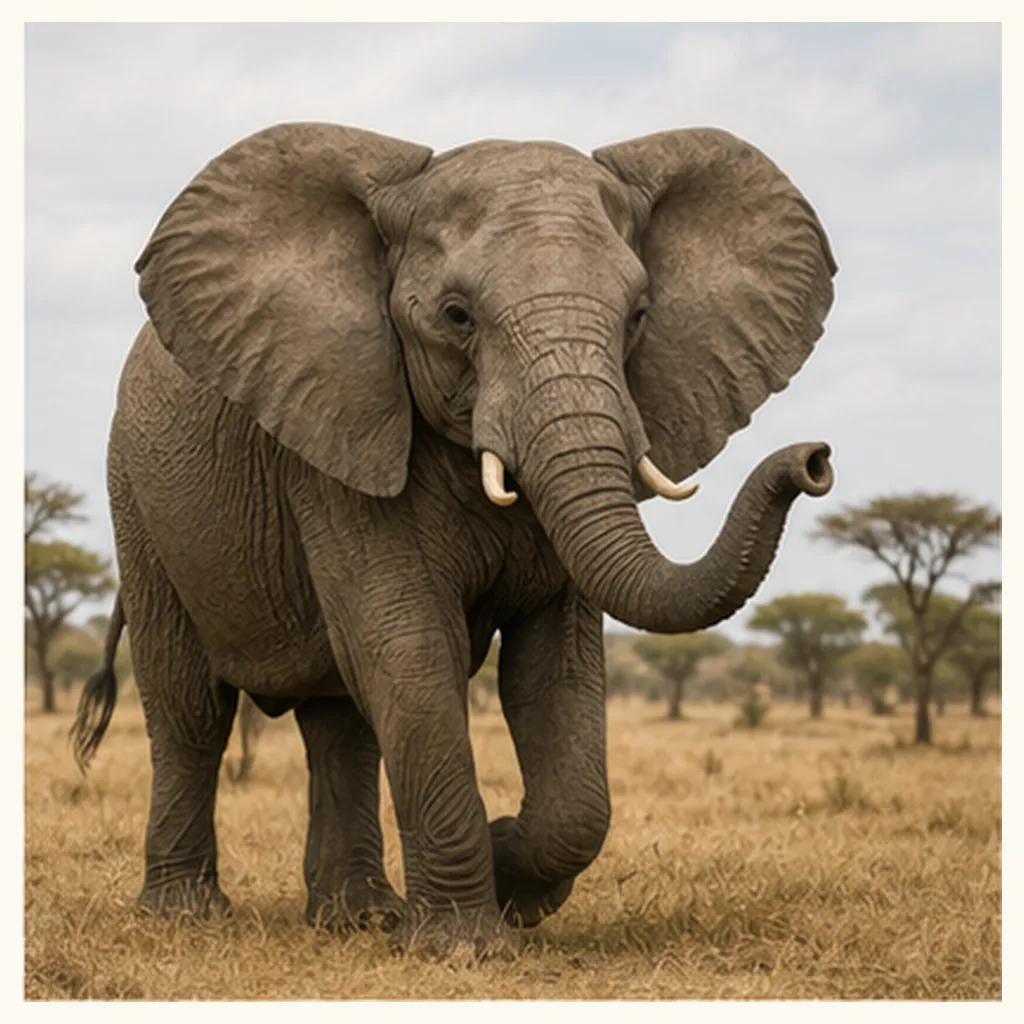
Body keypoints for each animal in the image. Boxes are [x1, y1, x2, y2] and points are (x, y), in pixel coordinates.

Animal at [71, 122, 836, 956]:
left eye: (638, 315)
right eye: (457, 315)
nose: (815, 460)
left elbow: (552, 673)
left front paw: (511, 879)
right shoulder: (341, 437)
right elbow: (407, 646)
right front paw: (466, 944)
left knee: (340, 722)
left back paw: (359, 917)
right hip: (137, 495)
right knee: (191, 707)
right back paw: (186, 915)